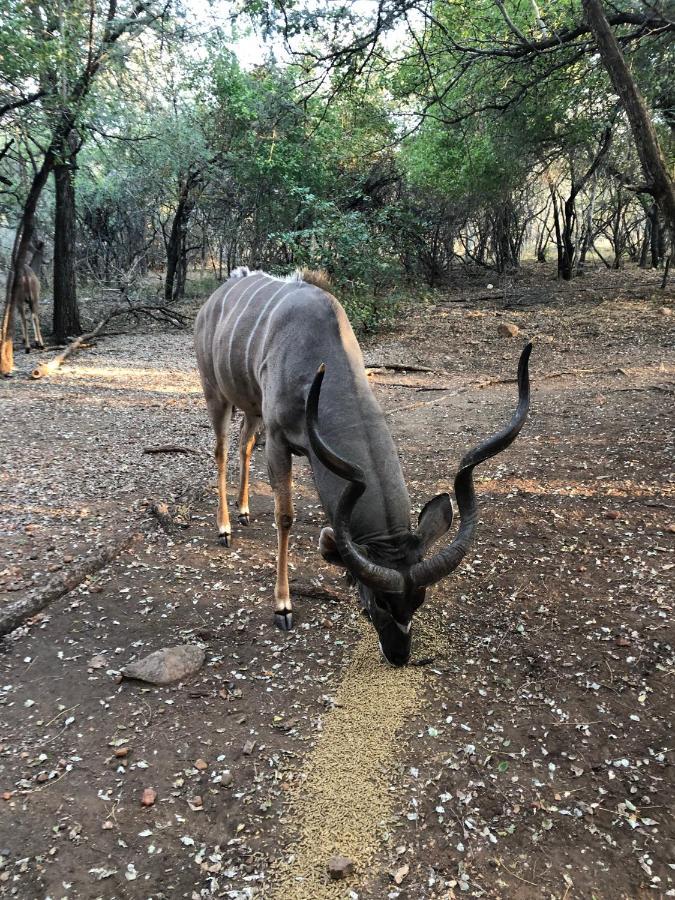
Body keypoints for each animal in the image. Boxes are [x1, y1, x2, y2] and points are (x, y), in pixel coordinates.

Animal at [195, 264, 532, 664]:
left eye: (418, 600)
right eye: (381, 602)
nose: (399, 655)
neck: (316, 353)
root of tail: (215, 297)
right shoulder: (277, 438)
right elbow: (285, 517)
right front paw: (283, 606)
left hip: (250, 408)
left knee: (244, 443)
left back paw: (244, 511)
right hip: (215, 394)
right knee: (221, 450)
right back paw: (225, 528)